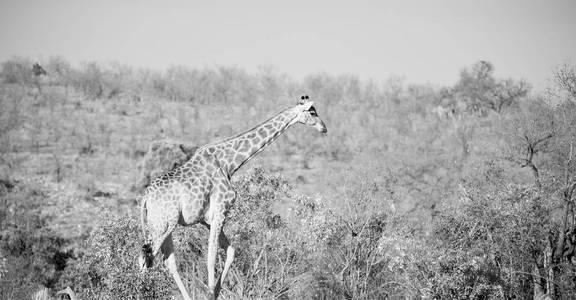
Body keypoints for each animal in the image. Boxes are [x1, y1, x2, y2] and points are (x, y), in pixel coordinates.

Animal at [139, 95, 326, 300]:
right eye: (312, 112)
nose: (324, 128)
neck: (228, 163)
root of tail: (145, 198)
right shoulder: (220, 211)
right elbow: (211, 257)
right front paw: (210, 292)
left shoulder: (208, 219)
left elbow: (231, 251)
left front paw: (216, 291)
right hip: (163, 224)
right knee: (145, 259)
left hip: (165, 225)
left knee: (166, 261)